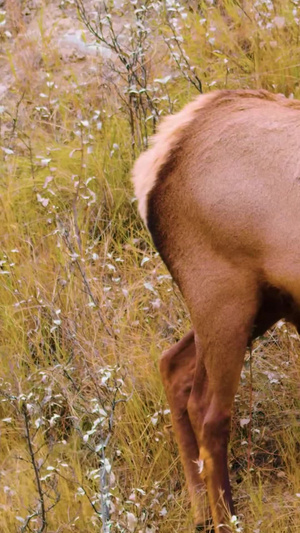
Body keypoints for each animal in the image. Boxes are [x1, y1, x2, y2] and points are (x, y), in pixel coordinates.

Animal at [132, 89, 300, 528]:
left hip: (260, 303)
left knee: (173, 364)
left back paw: (199, 510)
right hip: (226, 300)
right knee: (208, 412)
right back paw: (226, 519)